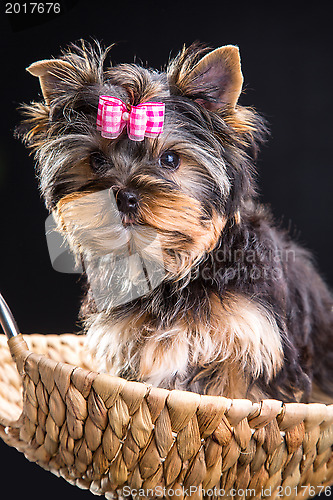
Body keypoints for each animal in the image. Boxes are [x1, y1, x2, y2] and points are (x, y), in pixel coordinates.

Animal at [18, 40, 332, 402]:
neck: (171, 267)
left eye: (170, 159)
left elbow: (240, 395)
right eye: (96, 160)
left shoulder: (252, 343)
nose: (123, 196)